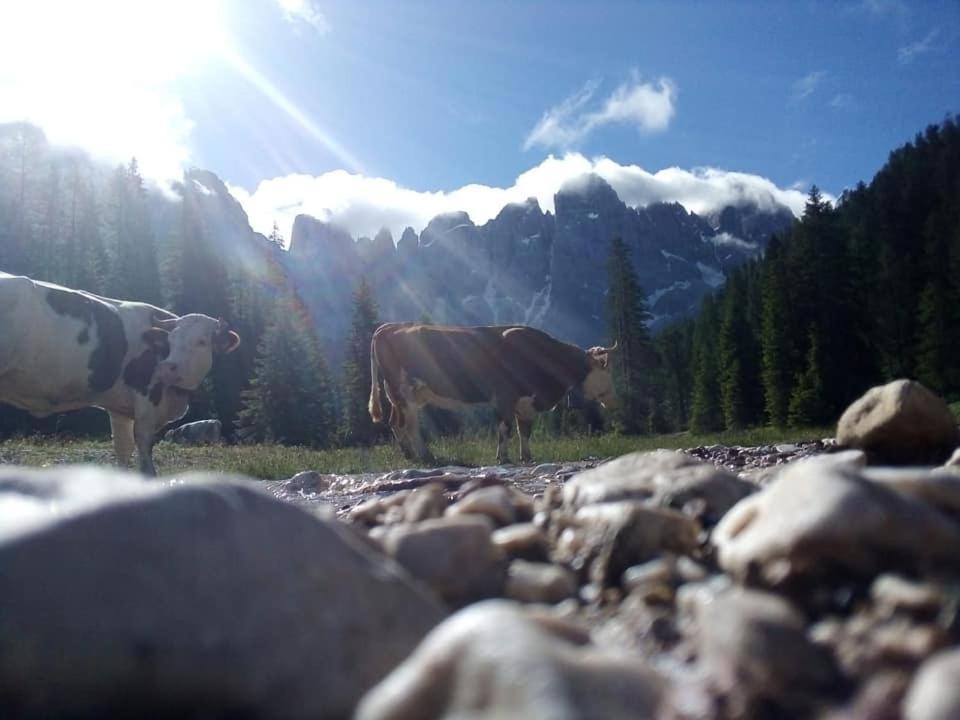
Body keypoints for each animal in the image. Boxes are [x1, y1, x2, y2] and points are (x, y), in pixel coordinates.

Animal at [0, 272, 240, 476]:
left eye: (202, 342)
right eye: (171, 340)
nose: (167, 367)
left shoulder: (120, 410)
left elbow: (123, 451)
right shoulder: (146, 401)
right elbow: (145, 456)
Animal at [372, 322, 620, 466]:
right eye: (607, 370)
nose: (613, 400)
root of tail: (388, 327)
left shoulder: (525, 402)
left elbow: (524, 431)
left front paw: (526, 457)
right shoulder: (504, 397)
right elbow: (505, 429)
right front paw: (503, 457)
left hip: (397, 396)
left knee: (395, 423)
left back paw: (409, 455)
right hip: (405, 392)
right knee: (410, 425)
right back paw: (426, 456)